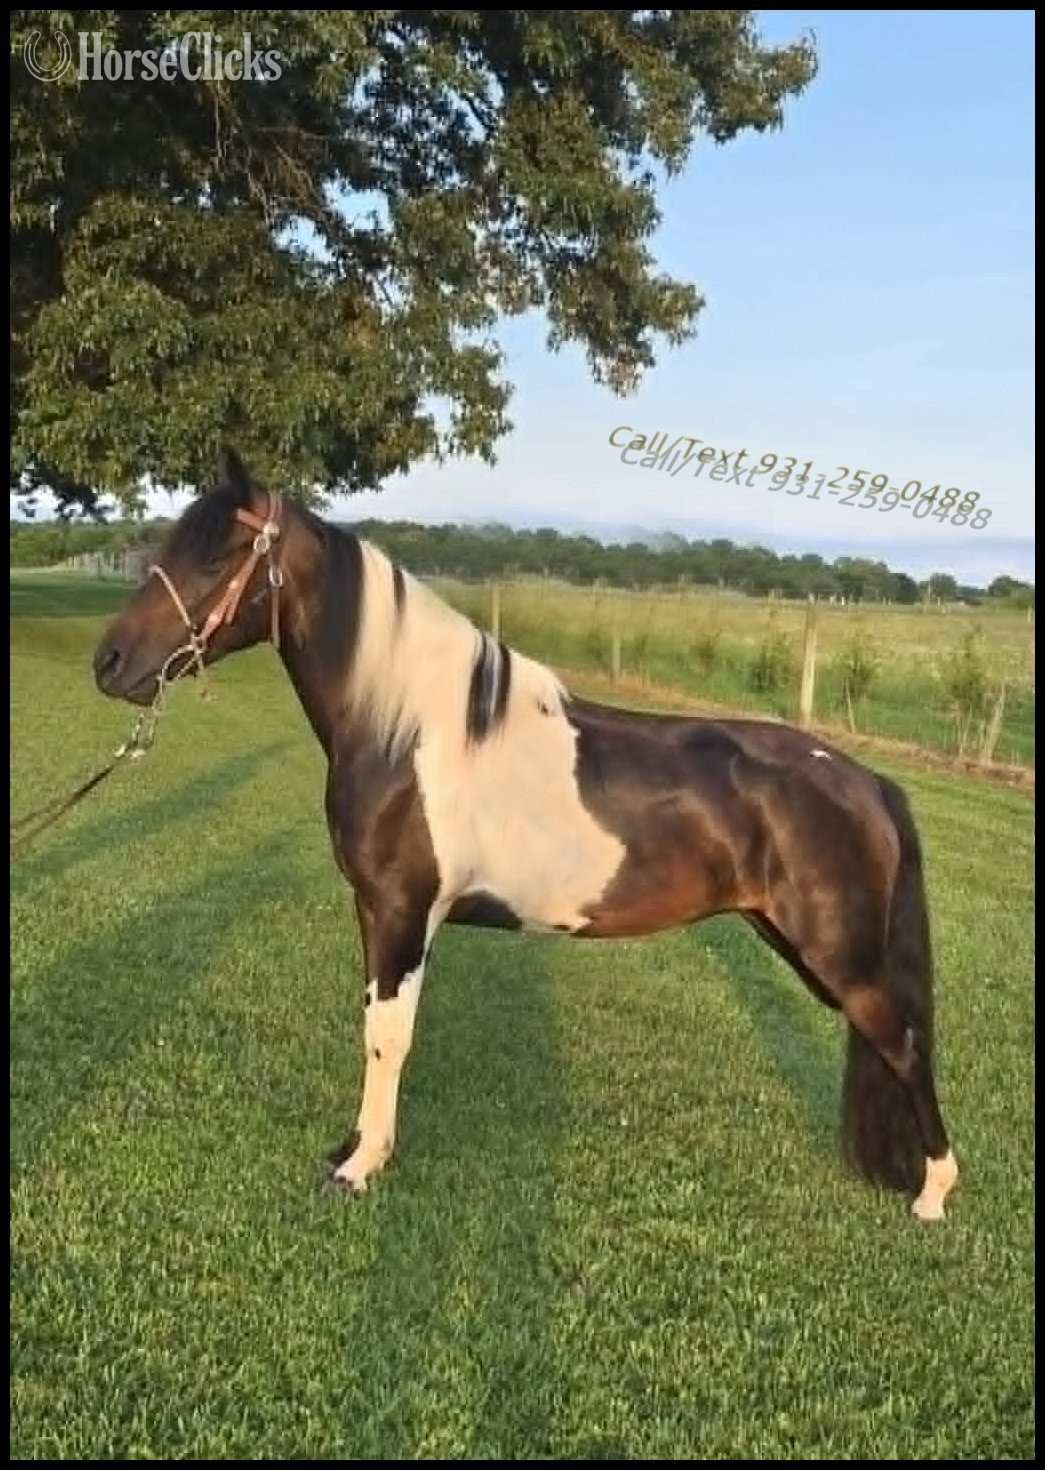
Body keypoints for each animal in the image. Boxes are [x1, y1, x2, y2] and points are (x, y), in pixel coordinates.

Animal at [92, 450, 959, 1221]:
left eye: (217, 556)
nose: (110, 662)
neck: (409, 729)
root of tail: (866, 781)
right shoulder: (376, 911)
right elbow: (375, 1029)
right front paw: (352, 1148)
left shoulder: (402, 912)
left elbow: (387, 1037)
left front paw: (360, 1166)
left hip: (840, 964)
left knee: (906, 1048)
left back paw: (931, 1196)